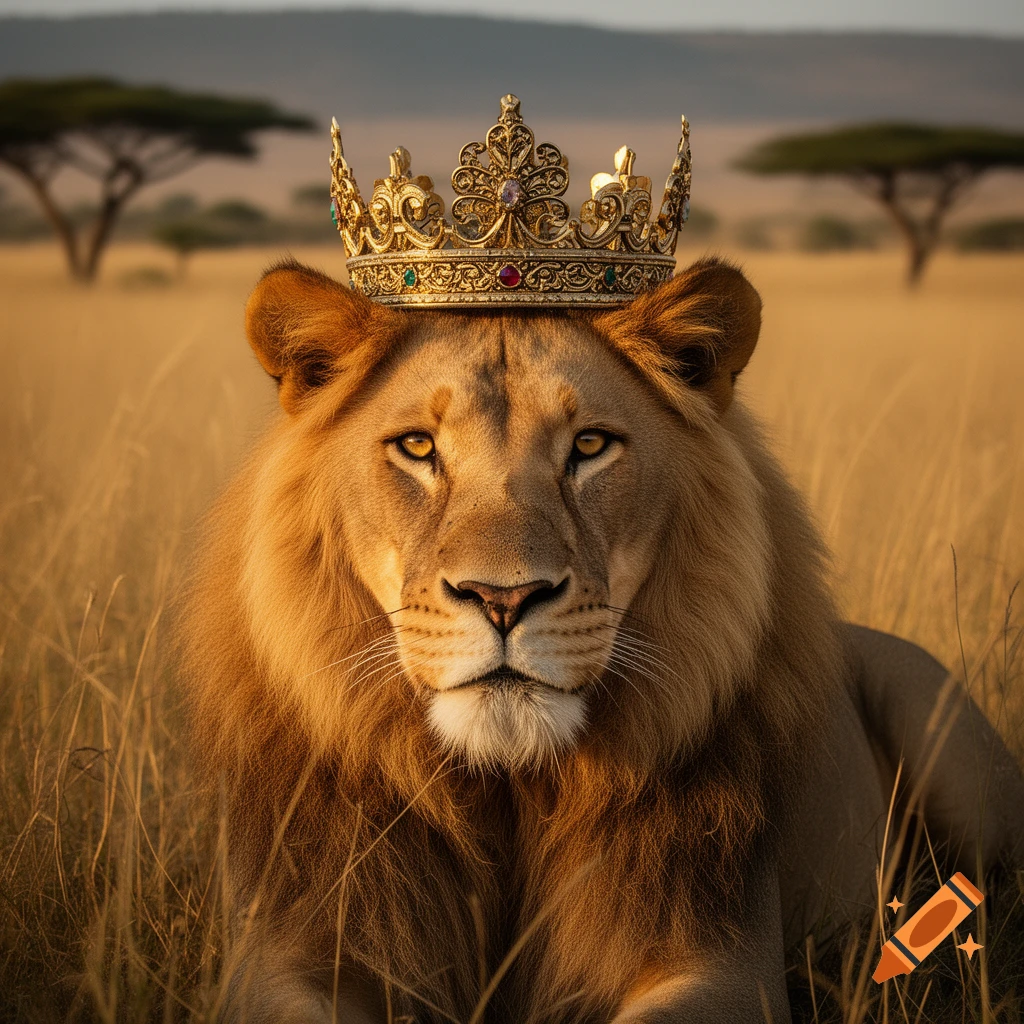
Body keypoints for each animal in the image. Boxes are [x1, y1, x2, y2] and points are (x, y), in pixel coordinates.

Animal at [179, 256, 1024, 1024]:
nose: (504, 597)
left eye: (589, 447)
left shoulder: (724, 962)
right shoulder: (280, 953)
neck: (511, 792)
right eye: (418, 448)